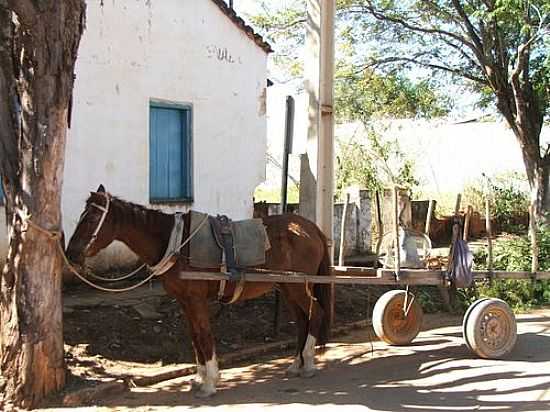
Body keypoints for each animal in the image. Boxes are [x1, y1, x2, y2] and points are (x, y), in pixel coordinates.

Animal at [64, 185, 332, 398]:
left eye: (91, 219)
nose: (70, 255)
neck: (175, 243)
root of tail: (312, 228)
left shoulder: (196, 300)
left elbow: (204, 335)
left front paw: (210, 382)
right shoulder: (184, 301)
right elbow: (194, 336)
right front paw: (199, 377)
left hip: (297, 286)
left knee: (316, 313)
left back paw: (308, 363)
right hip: (288, 287)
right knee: (302, 319)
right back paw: (296, 363)